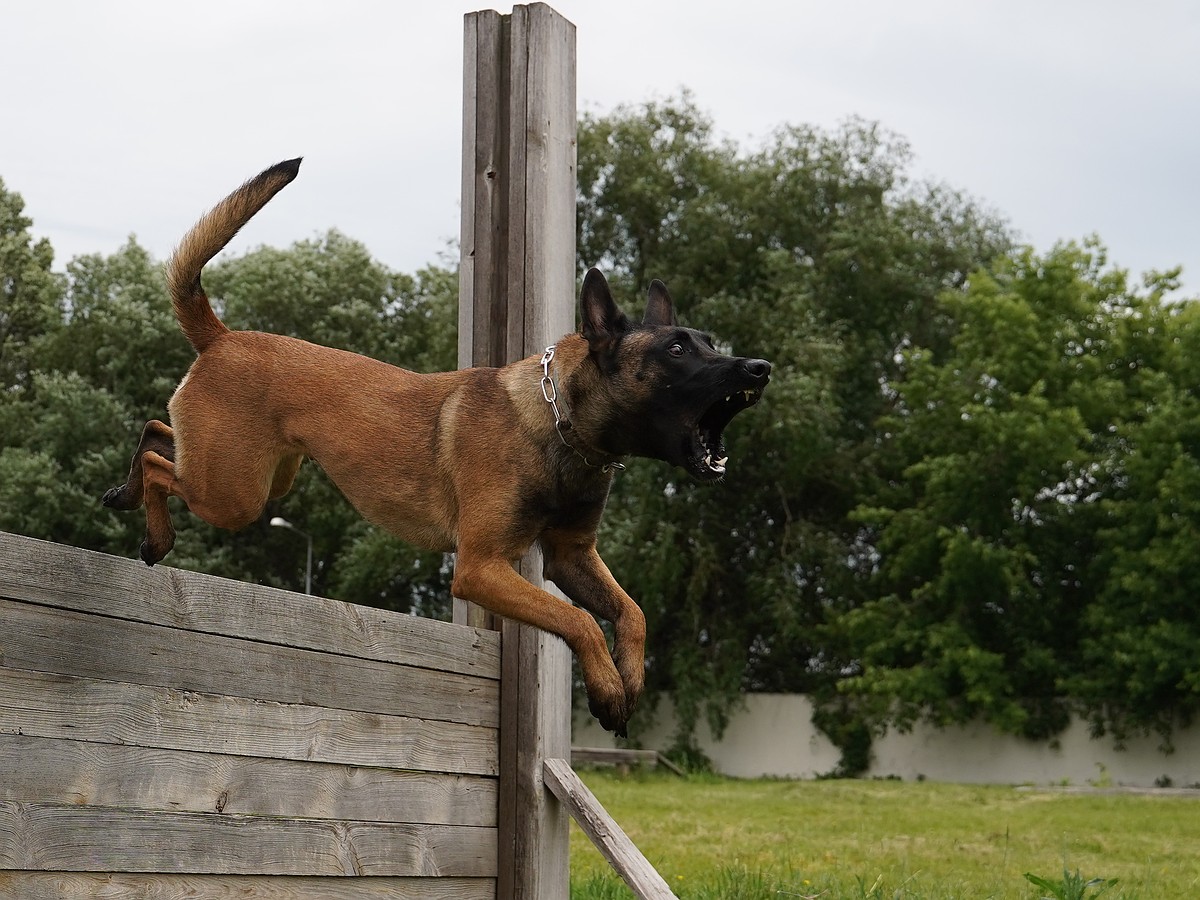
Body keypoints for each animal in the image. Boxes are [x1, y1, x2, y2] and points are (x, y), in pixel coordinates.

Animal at [108, 158, 772, 734]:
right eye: (677, 350)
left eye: (710, 343)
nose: (759, 368)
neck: (558, 424)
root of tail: (220, 338)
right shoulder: (482, 568)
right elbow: (579, 619)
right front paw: (607, 687)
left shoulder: (570, 556)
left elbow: (630, 611)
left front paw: (628, 678)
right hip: (235, 493)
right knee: (160, 462)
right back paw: (152, 530)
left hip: (265, 476)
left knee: (157, 433)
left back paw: (126, 494)